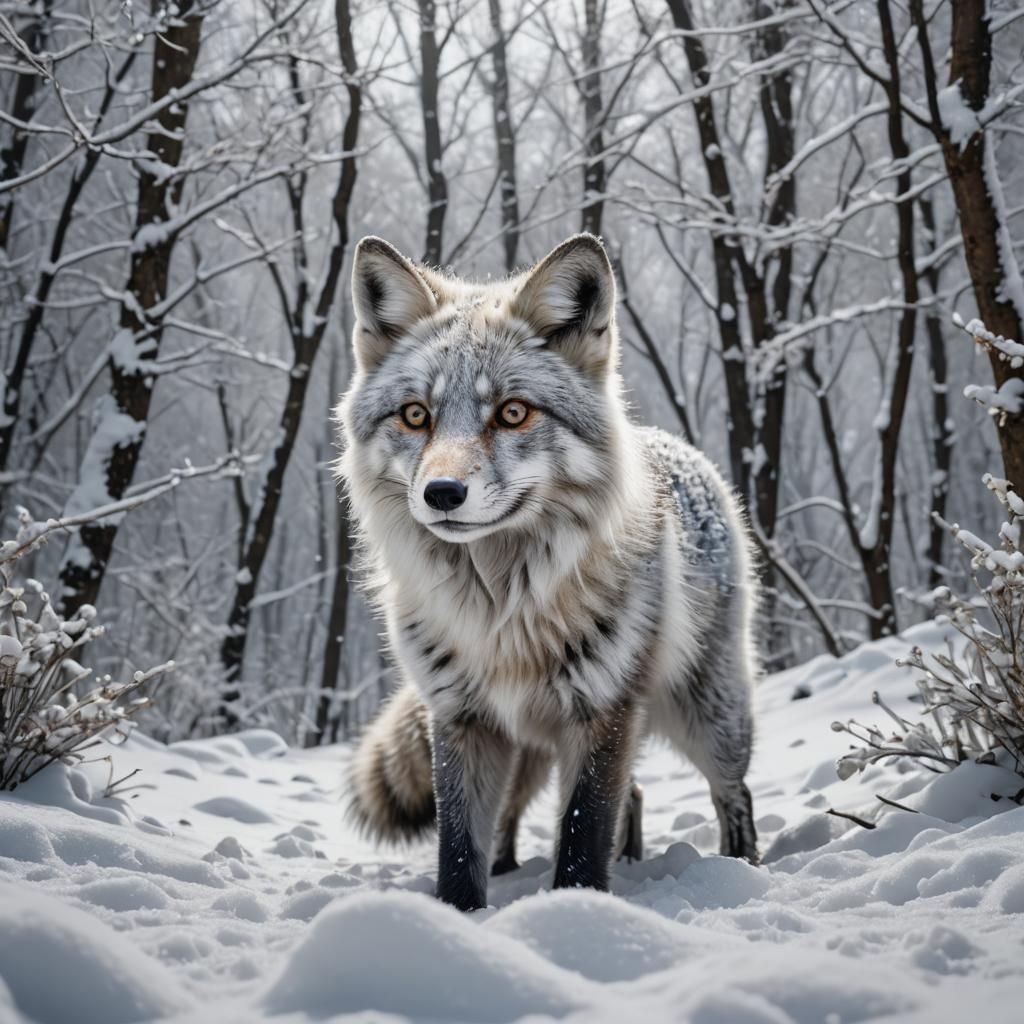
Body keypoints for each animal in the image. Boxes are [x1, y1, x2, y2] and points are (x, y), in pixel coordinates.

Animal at [337, 232, 759, 911]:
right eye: (415, 415)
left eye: (512, 413)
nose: (441, 494)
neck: (502, 615)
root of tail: (678, 447)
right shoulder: (460, 718)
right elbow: (459, 851)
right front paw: (457, 920)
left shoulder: (602, 713)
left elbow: (583, 838)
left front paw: (575, 914)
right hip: (533, 749)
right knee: (597, 800)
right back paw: (559, 864)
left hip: (709, 718)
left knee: (733, 794)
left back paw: (741, 868)